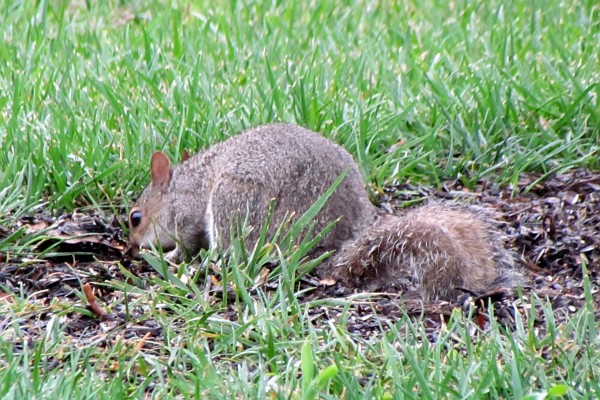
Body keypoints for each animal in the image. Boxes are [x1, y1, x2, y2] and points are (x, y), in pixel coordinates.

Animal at [127, 124, 520, 300]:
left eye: (135, 217)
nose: (131, 246)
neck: (176, 188)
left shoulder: (187, 213)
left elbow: (188, 241)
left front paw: (170, 256)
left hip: (234, 201)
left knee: (232, 251)